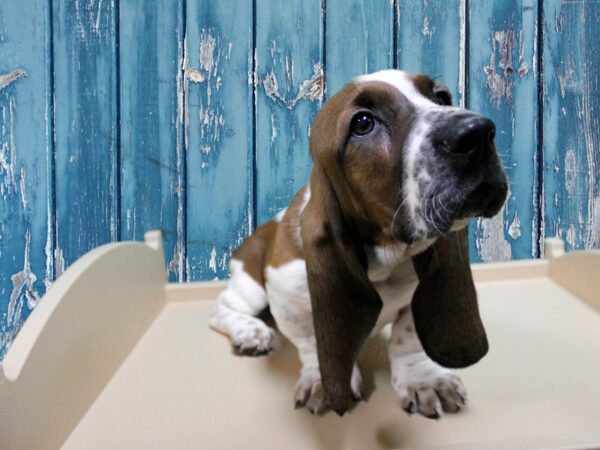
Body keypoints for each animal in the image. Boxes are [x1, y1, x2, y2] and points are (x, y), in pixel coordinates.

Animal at [209, 68, 508, 416]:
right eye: (363, 123)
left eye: (442, 97)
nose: (478, 133)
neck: (385, 259)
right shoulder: (287, 298)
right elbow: (311, 341)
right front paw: (320, 380)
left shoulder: (415, 295)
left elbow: (407, 337)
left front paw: (423, 380)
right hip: (251, 286)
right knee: (222, 309)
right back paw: (250, 332)